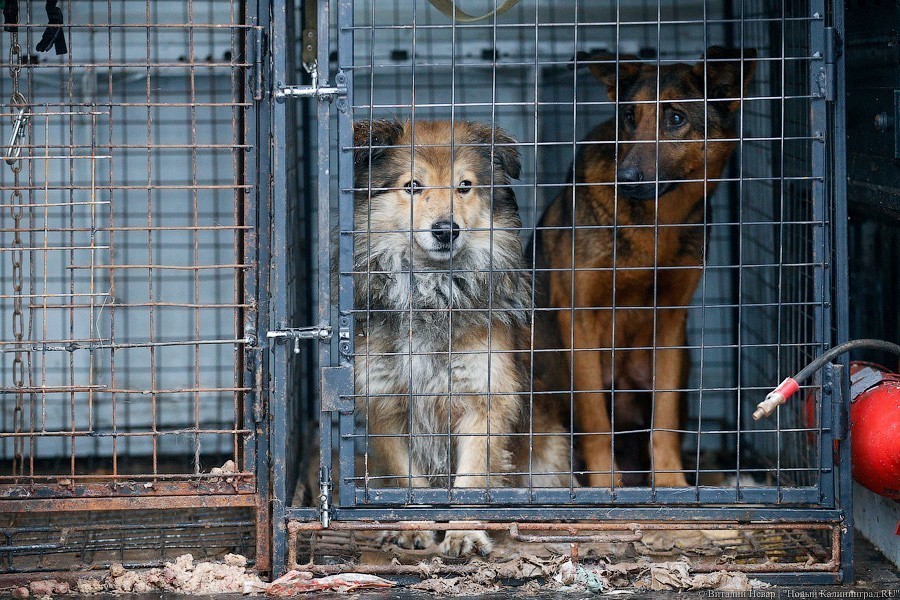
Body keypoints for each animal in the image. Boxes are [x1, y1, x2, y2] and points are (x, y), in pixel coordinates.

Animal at [532, 47, 756, 488]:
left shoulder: (669, 321)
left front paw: (670, 482)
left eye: (676, 118)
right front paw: (606, 484)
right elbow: (594, 418)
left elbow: (664, 418)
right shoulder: (579, 316)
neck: (656, 223)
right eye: (629, 117)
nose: (627, 178)